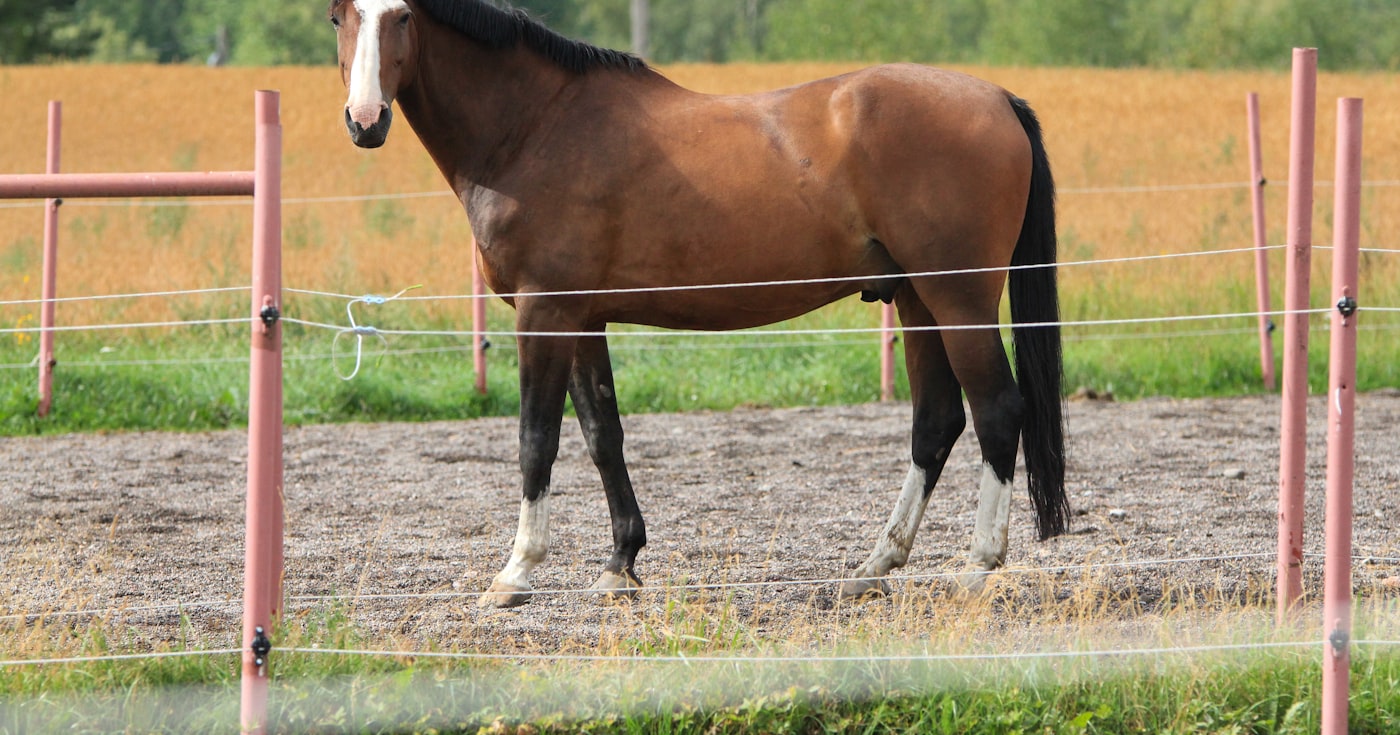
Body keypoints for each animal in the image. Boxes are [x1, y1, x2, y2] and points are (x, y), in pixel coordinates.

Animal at [330, 0, 1068, 608]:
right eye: (340, 16)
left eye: (401, 16)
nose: (366, 122)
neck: (535, 127)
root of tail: (999, 98)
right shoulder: (583, 318)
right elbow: (603, 435)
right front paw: (620, 563)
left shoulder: (545, 312)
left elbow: (536, 439)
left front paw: (516, 573)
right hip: (916, 299)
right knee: (936, 422)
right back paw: (874, 565)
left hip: (958, 297)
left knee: (997, 411)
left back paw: (977, 564)